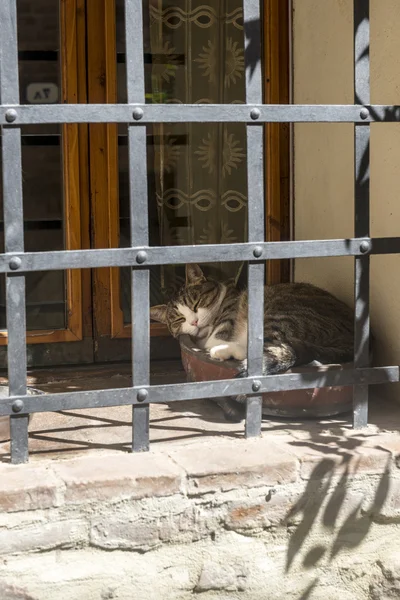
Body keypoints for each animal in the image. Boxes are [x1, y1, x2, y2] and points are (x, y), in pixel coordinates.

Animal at [152, 262, 354, 422]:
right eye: (179, 320)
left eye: (196, 304)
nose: (194, 322)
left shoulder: (228, 317)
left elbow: (217, 336)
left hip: (278, 313)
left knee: (271, 345)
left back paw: (223, 351)